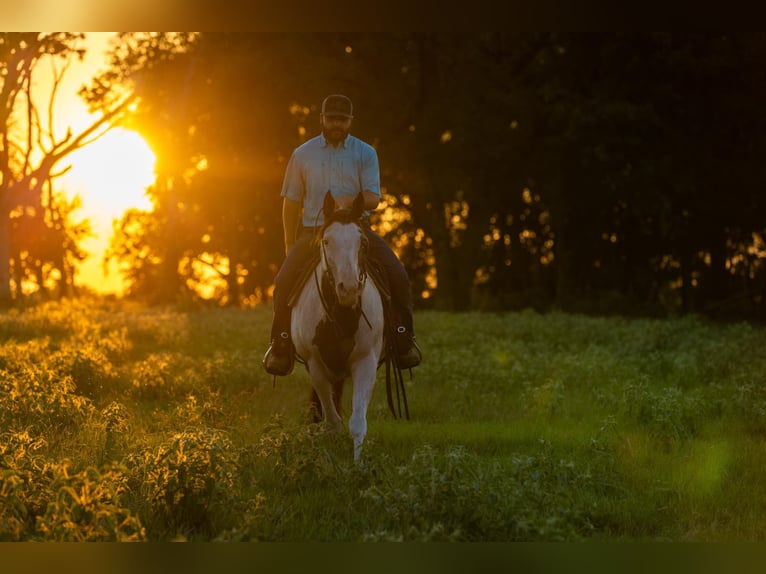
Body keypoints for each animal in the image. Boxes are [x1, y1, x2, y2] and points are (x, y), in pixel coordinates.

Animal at [289, 190, 389, 461]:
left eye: (362, 242)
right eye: (326, 241)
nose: (349, 289)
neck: (342, 315)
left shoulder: (366, 362)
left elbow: (357, 422)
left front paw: (357, 466)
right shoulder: (316, 366)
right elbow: (332, 422)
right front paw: (330, 461)